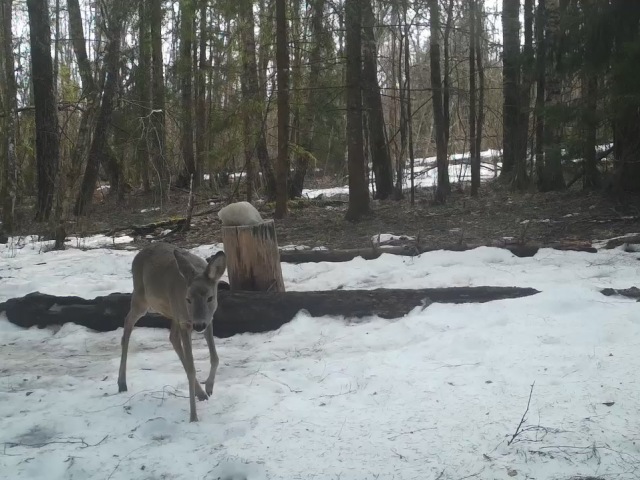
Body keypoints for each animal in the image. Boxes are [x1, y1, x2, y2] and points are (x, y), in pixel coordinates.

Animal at [117, 242, 227, 422]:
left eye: (210, 298)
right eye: (188, 299)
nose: (198, 326)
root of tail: (139, 253)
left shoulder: (208, 320)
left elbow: (215, 358)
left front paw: (209, 387)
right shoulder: (185, 322)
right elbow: (191, 369)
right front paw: (193, 417)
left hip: (172, 313)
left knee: (172, 338)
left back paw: (201, 393)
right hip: (141, 297)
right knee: (127, 322)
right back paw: (121, 383)